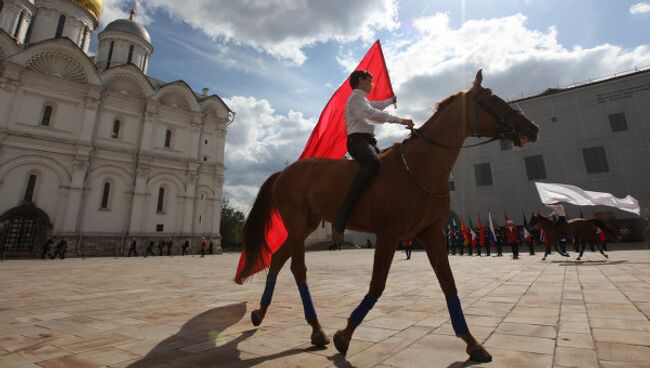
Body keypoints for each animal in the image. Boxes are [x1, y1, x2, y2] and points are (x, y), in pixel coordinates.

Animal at [238, 69, 536, 362]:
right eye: (492, 98)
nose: (533, 128)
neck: (418, 166)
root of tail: (284, 171)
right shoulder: (389, 235)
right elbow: (378, 285)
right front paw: (344, 335)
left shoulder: (431, 233)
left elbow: (449, 284)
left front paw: (472, 343)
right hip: (298, 224)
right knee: (297, 268)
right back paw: (317, 329)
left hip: (306, 225)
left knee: (278, 259)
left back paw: (262, 314)